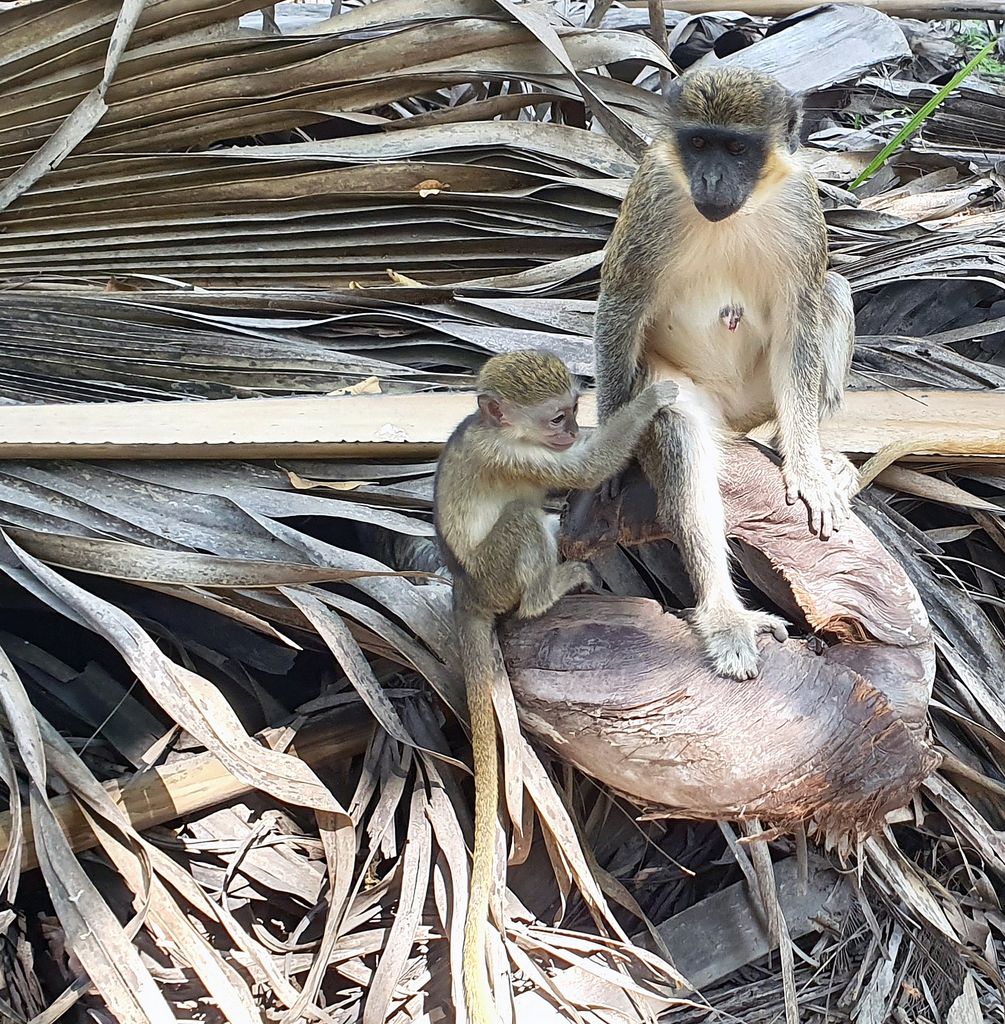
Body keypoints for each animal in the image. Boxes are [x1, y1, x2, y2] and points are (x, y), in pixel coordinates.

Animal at [432, 352, 676, 1024]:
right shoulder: (515, 454)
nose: (569, 430)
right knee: (521, 521)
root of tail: (466, 588)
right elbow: (581, 469)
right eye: (555, 417)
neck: (503, 431)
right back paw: (546, 593)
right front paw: (651, 401)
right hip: (496, 576)